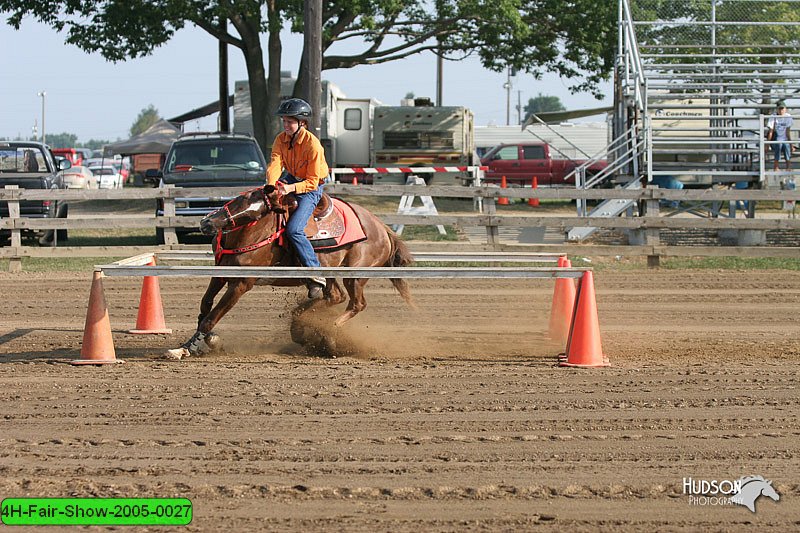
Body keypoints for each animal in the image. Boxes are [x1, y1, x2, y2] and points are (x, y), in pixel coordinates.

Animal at [162, 185, 412, 360]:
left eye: (255, 215)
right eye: (241, 197)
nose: (207, 223)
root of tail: (382, 228)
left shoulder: (241, 284)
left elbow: (211, 317)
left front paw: (185, 349)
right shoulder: (221, 274)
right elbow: (205, 307)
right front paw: (205, 341)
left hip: (357, 275)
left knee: (356, 303)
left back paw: (327, 335)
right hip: (331, 274)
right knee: (334, 296)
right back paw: (301, 327)